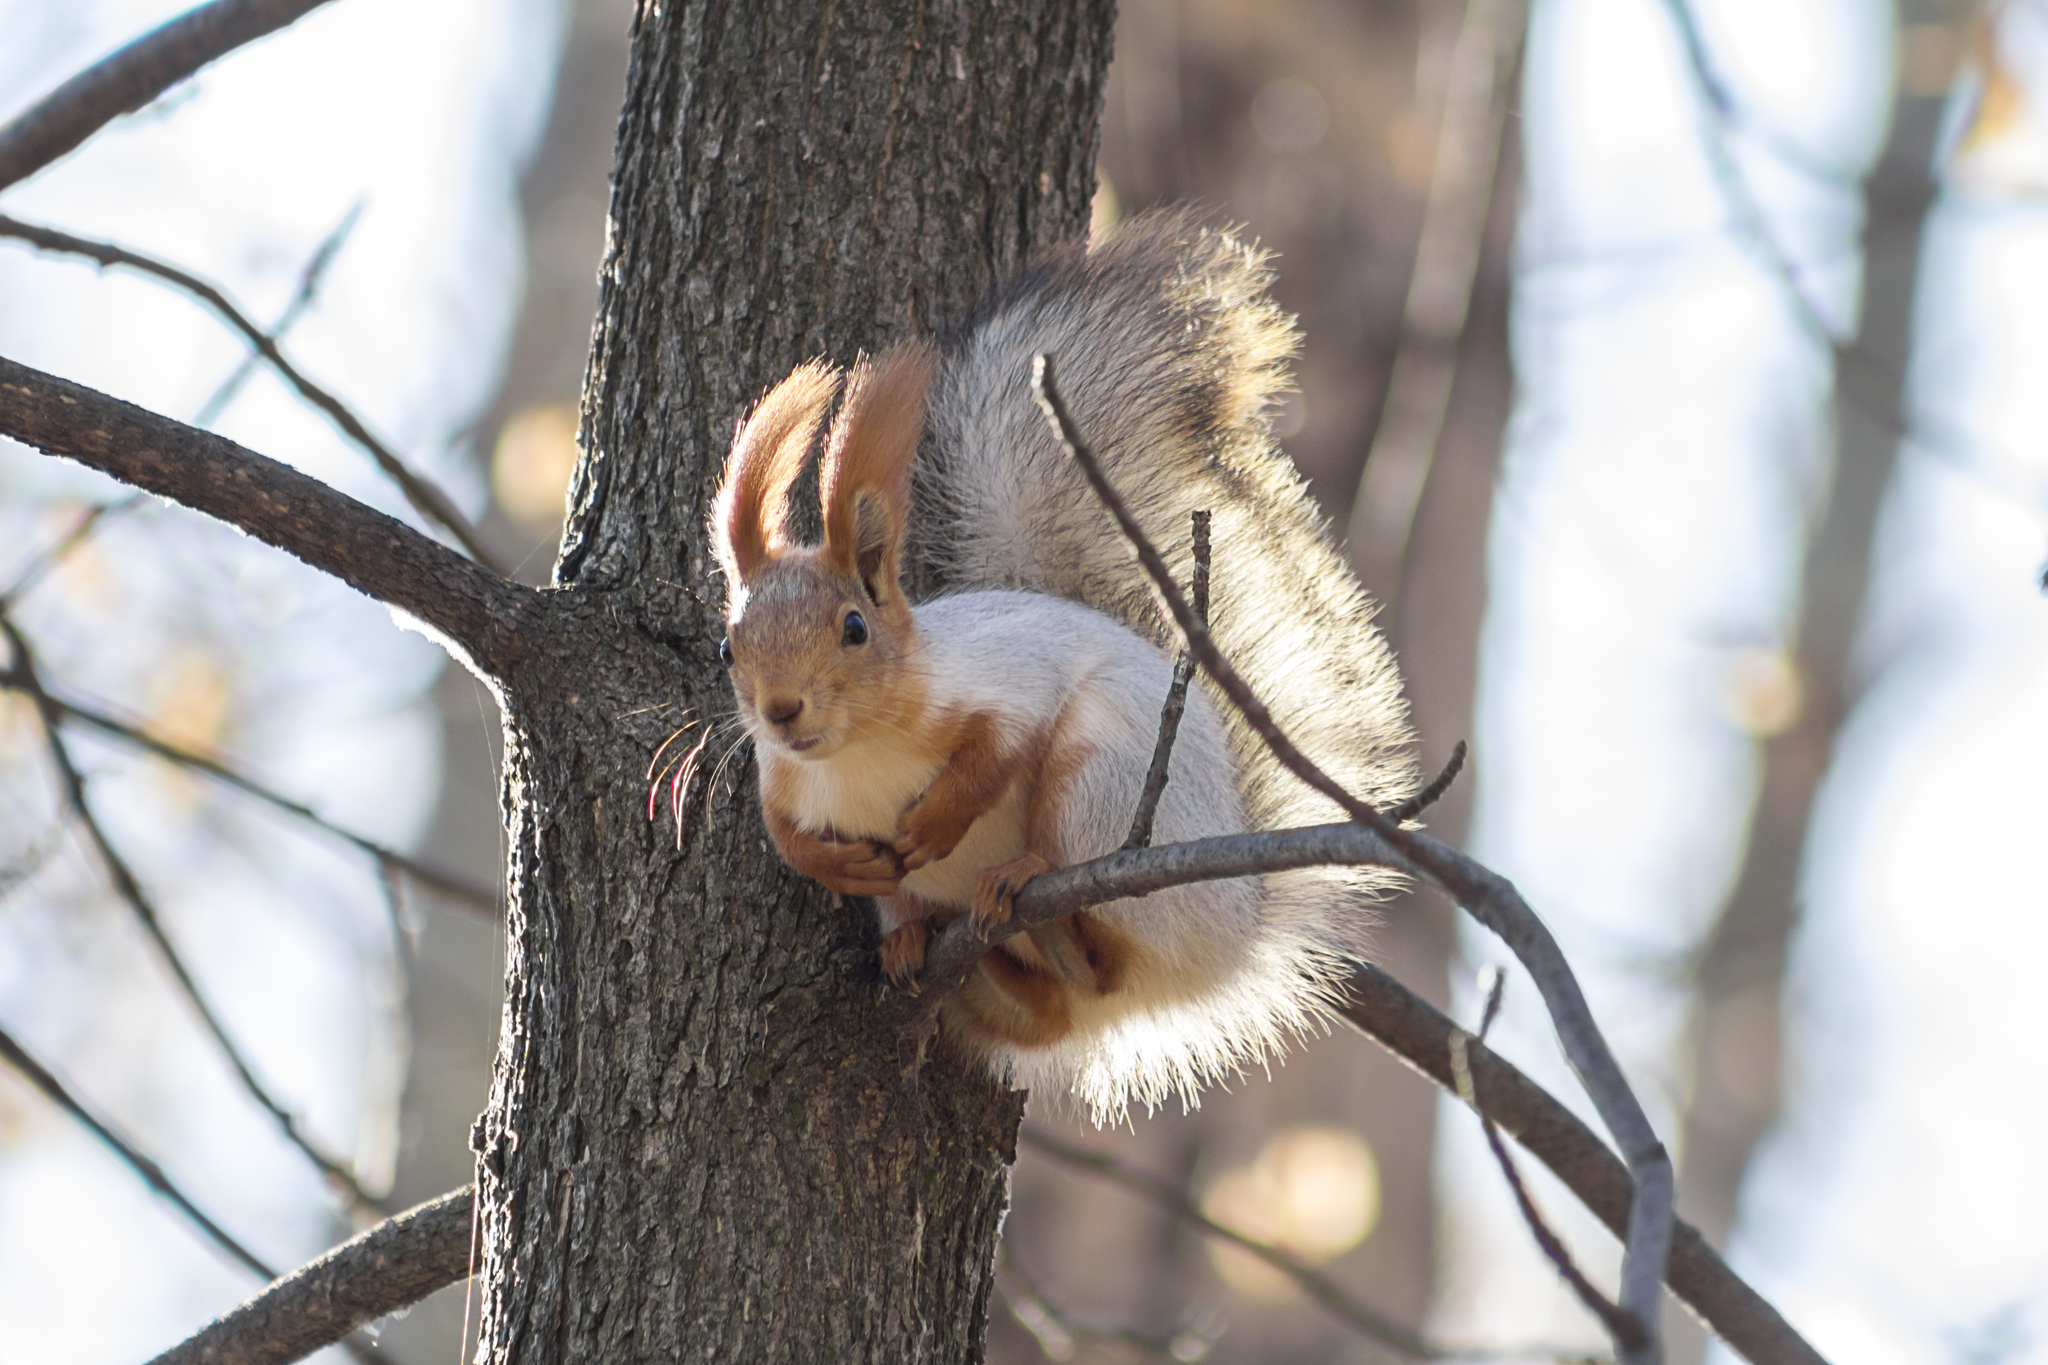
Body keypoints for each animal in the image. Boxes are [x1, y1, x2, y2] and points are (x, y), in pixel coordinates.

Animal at [712, 205, 1417, 1121]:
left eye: (855, 628)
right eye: (728, 646)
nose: (781, 709)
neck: (854, 757)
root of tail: (1239, 928)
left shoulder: (1006, 685)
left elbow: (998, 752)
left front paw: (932, 823)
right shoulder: (783, 776)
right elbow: (784, 834)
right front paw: (836, 861)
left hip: (1099, 788)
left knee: (1100, 948)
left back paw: (1032, 893)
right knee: (1050, 1012)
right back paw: (938, 949)